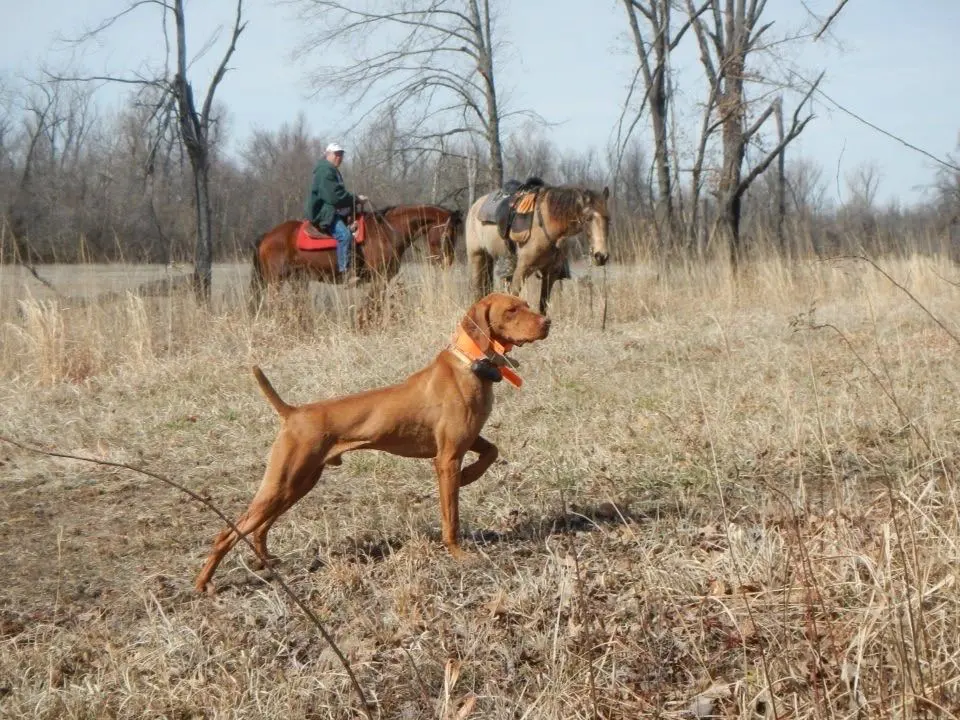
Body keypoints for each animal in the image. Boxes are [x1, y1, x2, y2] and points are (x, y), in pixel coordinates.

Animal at [195, 292, 552, 592]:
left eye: (526, 303)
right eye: (512, 310)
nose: (547, 321)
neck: (471, 364)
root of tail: (292, 412)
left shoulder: (467, 440)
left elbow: (492, 451)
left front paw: (469, 476)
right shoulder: (447, 457)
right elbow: (451, 517)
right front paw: (458, 553)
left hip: (298, 483)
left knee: (258, 528)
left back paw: (267, 561)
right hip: (283, 482)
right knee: (227, 533)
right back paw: (203, 584)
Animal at [249, 204, 464, 324]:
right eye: (449, 233)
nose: (448, 261)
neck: (387, 232)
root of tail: (266, 236)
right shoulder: (379, 278)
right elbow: (373, 304)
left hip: (297, 281)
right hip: (276, 281)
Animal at [468, 184, 612, 314]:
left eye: (608, 219)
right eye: (588, 219)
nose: (601, 256)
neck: (546, 226)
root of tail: (475, 206)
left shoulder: (550, 274)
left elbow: (543, 307)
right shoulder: (522, 270)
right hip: (477, 258)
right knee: (477, 292)